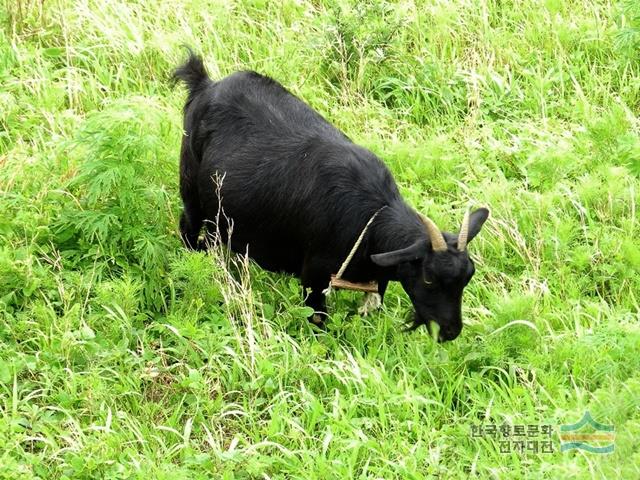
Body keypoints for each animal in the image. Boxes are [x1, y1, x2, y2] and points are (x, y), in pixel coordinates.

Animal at [172, 52, 488, 342]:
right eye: (429, 278)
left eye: (468, 275)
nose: (451, 331)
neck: (370, 224)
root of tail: (205, 85)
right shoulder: (313, 277)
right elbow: (317, 319)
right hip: (190, 185)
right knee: (188, 226)